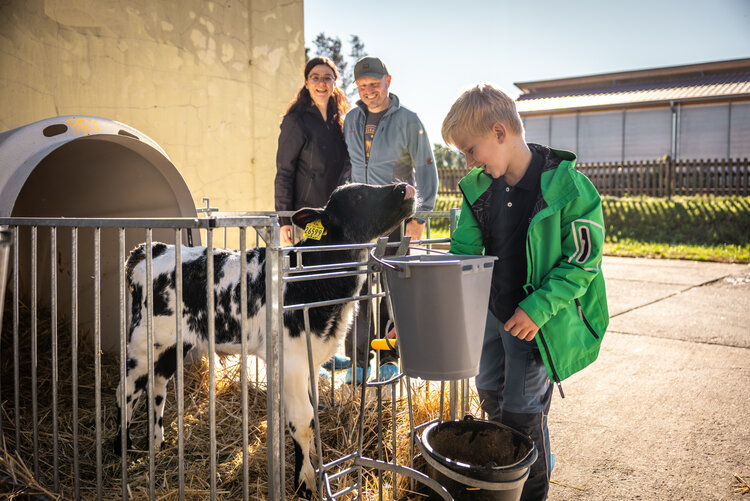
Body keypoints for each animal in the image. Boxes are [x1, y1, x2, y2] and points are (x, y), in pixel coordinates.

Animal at [114, 183, 418, 496]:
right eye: (357, 197)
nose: (406, 188)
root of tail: (155, 248)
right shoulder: (292, 361)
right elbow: (303, 421)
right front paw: (305, 484)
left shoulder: (310, 358)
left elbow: (309, 415)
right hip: (142, 339)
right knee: (126, 389)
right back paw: (123, 447)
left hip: (174, 342)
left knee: (157, 384)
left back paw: (156, 442)